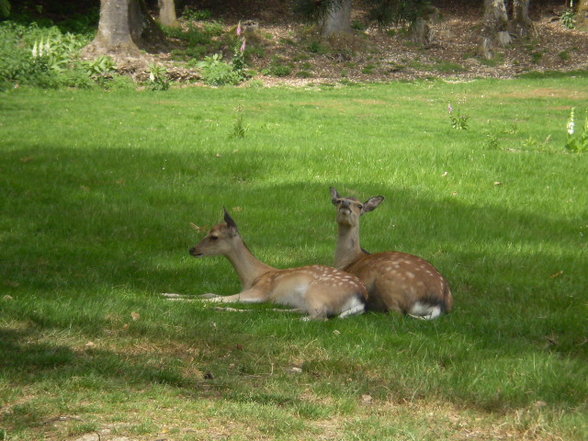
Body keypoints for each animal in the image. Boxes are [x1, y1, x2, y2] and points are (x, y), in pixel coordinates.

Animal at [162, 208, 368, 318]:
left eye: (214, 236)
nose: (192, 249)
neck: (252, 277)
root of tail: (360, 298)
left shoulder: (260, 291)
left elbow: (216, 297)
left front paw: (175, 301)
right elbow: (209, 293)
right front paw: (166, 293)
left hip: (318, 292)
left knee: (318, 316)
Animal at [328, 187, 452, 318]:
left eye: (360, 205)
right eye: (339, 201)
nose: (346, 204)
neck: (349, 261)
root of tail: (439, 304)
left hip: (389, 283)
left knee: (396, 313)